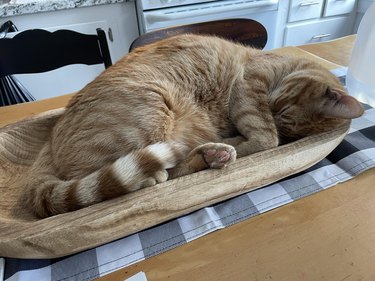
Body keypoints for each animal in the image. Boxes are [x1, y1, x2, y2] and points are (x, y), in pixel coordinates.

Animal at [22, 33, 364, 217]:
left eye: (288, 120)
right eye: (281, 110)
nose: (275, 111)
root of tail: (49, 146)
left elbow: (265, 139)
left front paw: (237, 143)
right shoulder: (248, 86)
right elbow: (267, 139)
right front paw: (249, 141)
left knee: (174, 164)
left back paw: (214, 155)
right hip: (152, 110)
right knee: (156, 172)